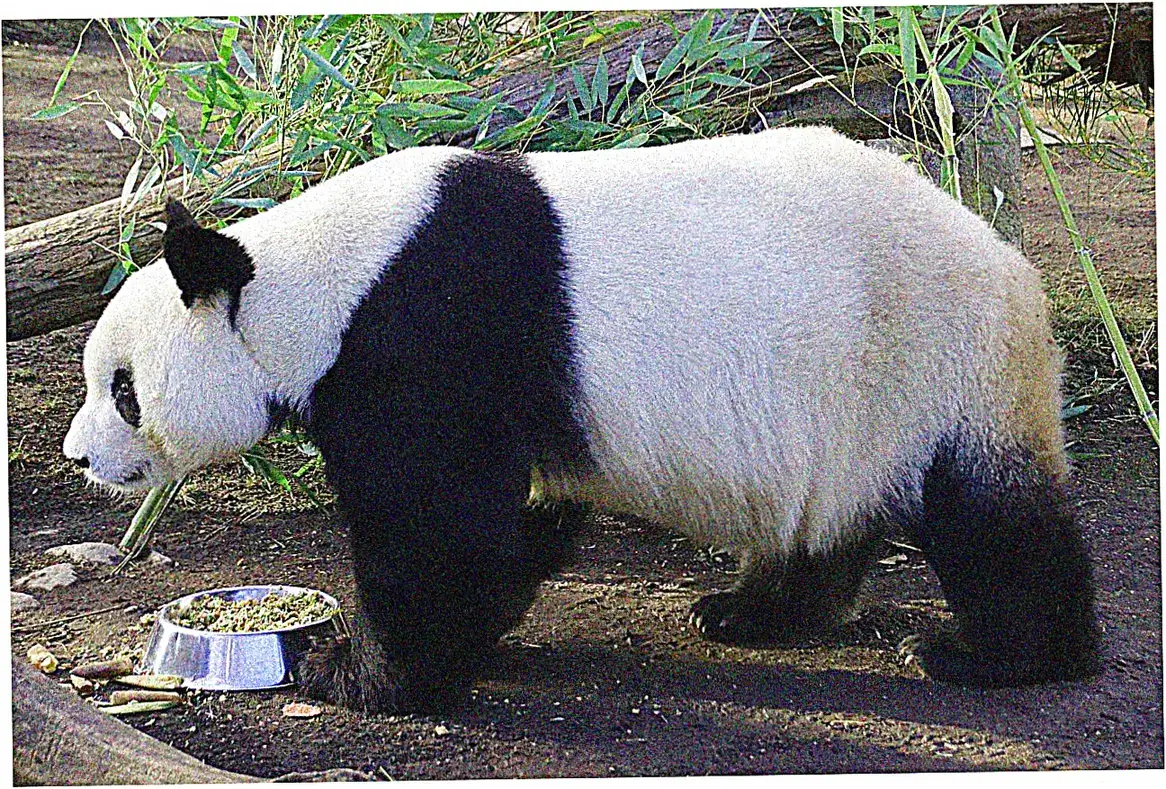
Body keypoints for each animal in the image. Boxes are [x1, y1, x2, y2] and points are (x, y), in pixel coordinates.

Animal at [63, 127, 1101, 712]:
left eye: (123, 389)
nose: (79, 458)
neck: (304, 283)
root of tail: (1012, 267)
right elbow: (507, 522)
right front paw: (485, 621)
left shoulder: (426, 335)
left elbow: (432, 524)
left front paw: (358, 675)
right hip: (850, 404)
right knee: (823, 520)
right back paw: (749, 611)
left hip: (927, 359)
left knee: (990, 515)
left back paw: (1003, 655)